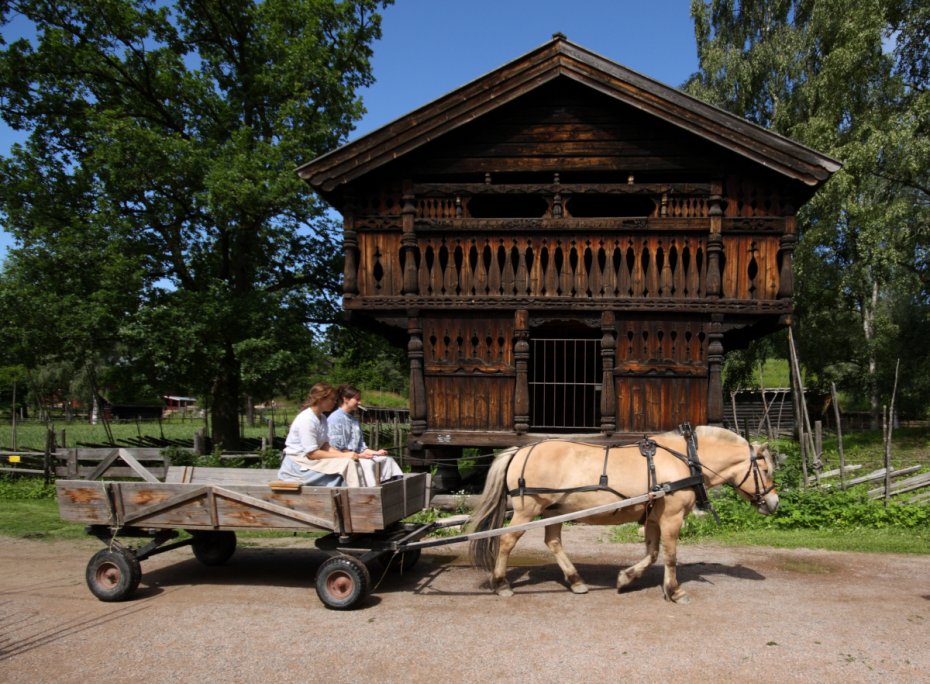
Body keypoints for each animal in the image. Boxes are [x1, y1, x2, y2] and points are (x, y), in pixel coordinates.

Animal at [468, 424, 780, 600]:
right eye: (765, 470)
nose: (774, 503)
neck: (685, 460)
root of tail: (521, 451)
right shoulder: (671, 516)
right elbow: (670, 555)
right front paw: (675, 591)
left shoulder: (653, 516)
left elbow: (652, 553)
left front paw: (626, 578)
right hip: (528, 509)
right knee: (507, 541)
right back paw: (502, 584)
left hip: (555, 510)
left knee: (553, 541)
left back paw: (576, 581)